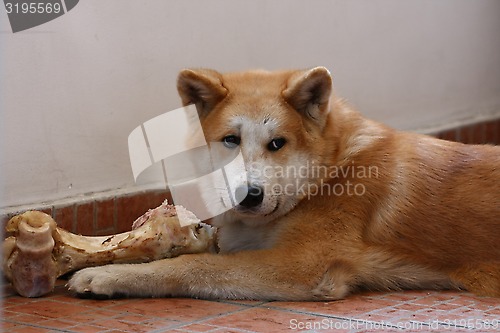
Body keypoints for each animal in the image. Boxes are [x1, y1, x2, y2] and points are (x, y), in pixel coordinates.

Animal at [68, 67, 498, 298]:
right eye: (231, 140)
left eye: (277, 143)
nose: (249, 195)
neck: (330, 173)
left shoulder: (301, 266)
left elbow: (193, 266)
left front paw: (110, 276)